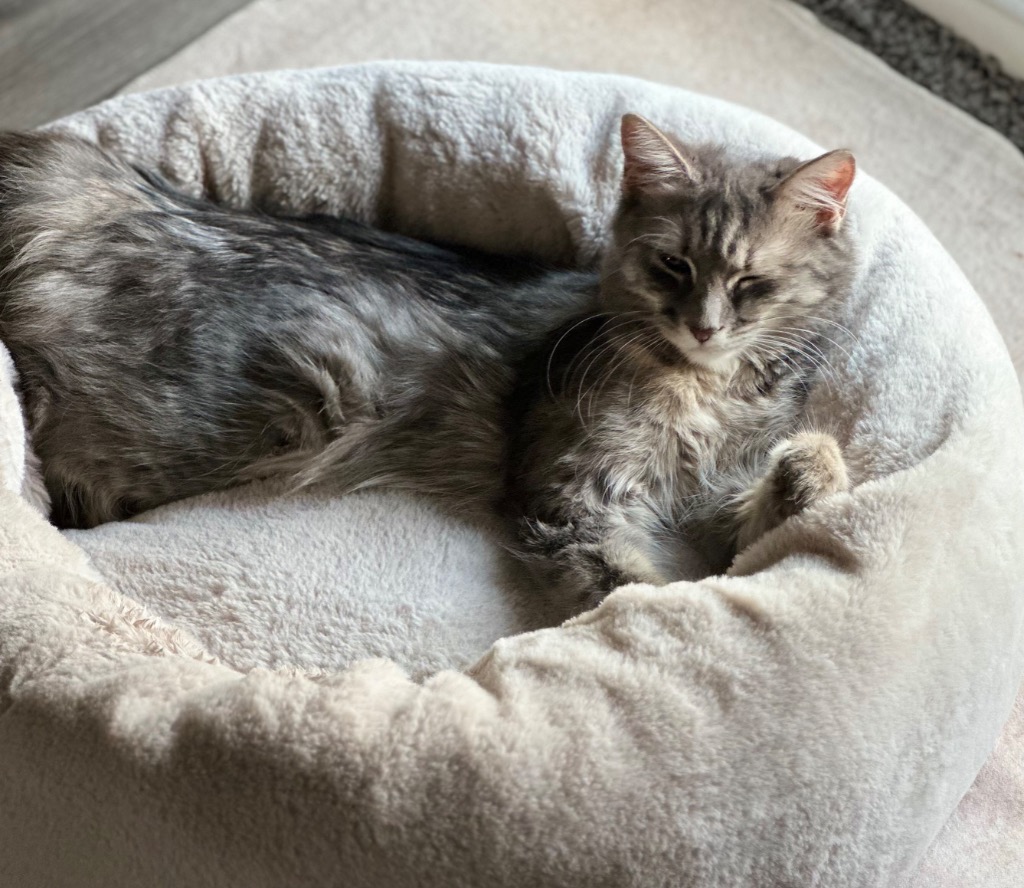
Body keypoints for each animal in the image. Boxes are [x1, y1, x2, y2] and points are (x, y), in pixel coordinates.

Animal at [0, 114, 855, 612]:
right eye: (672, 266)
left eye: (750, 283)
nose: (705, 327)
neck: (702, 386)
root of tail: (116, 193)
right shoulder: (572, 495)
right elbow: (639, 592)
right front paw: (672, 607)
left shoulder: (708, 491)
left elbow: (764, 507)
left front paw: (815, 465)